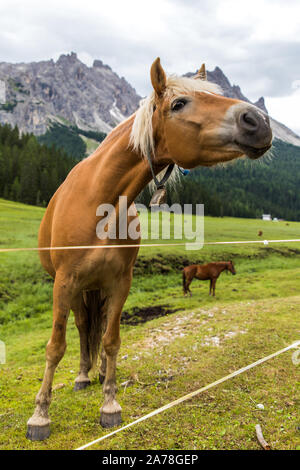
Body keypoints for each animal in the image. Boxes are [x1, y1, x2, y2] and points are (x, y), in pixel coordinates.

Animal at [27, 58, 274, 440]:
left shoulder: (121, 282)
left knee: (99, 328)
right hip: (78, 288)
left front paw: (110, 404)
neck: (100, 201)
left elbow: (112, 340)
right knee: (82, 327)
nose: (258, 121)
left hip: (98, 287)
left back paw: (99, 372)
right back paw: (83, 375)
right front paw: (40, 415)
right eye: (179, 104)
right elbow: (55, 346)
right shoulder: (64, 282)